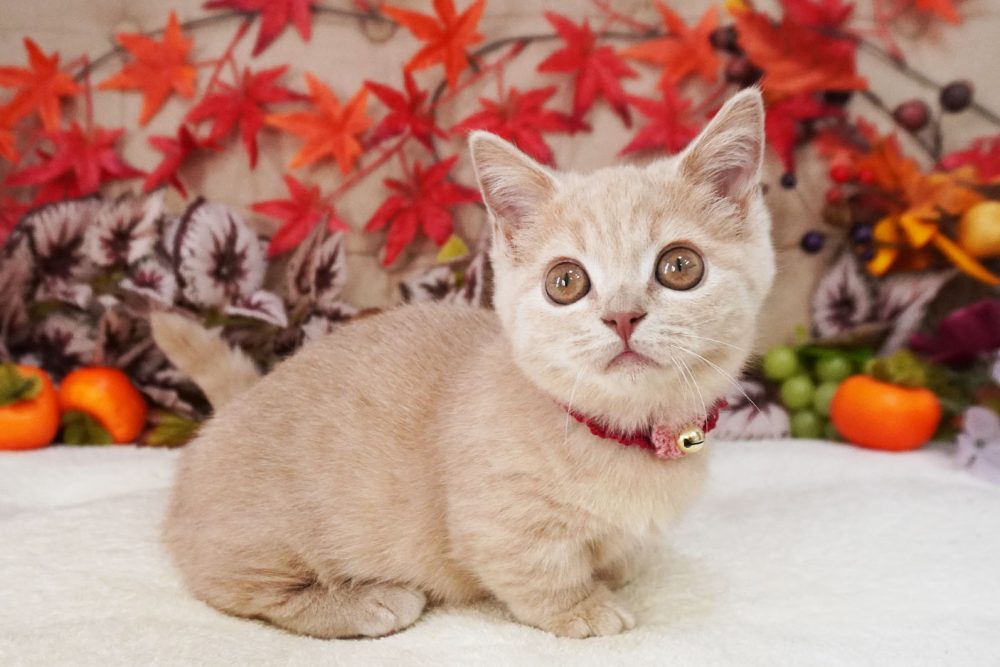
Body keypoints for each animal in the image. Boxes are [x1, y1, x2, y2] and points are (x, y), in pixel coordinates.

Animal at [154, 87, 775, 639]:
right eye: (566, 282)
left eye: (679, 267)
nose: (622, 316)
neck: (624, 431)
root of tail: (234, 406)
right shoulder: (498, 522)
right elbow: (537, 571)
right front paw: (584, 607)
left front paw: (620, 567)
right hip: (263, 538)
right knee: (240, 591)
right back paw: (367, 602)